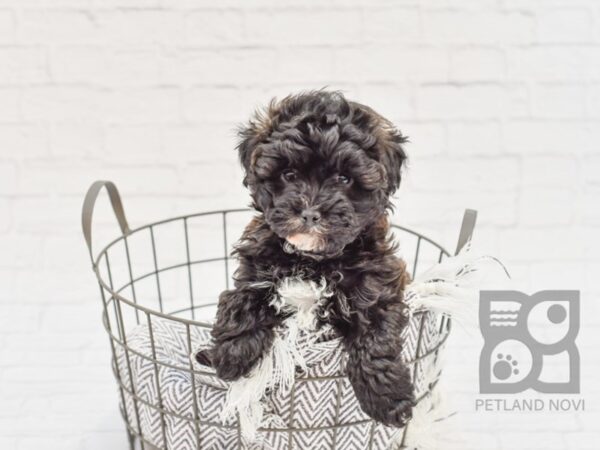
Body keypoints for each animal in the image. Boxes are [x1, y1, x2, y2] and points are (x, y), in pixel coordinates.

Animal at [199, 89, 414, 428]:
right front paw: (232, 354)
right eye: (289, 175)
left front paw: (388, 397)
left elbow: (375, 340)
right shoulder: (254, 268)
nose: (311, 213)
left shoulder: (378, 287)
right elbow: (239, 299)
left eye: (344, 179)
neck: (313, 259)